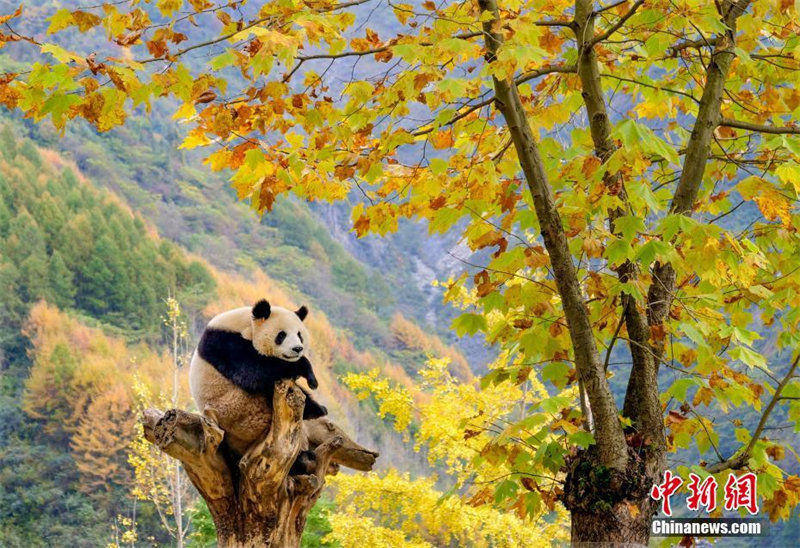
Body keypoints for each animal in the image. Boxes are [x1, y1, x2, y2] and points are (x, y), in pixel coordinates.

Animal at [189, 299, 328, 455]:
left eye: (299, 335)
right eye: (281, 335)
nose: (297, 349)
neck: (246, 326)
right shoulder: (226, 344)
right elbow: (254, 372)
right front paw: (305, 370)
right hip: (239, 412)